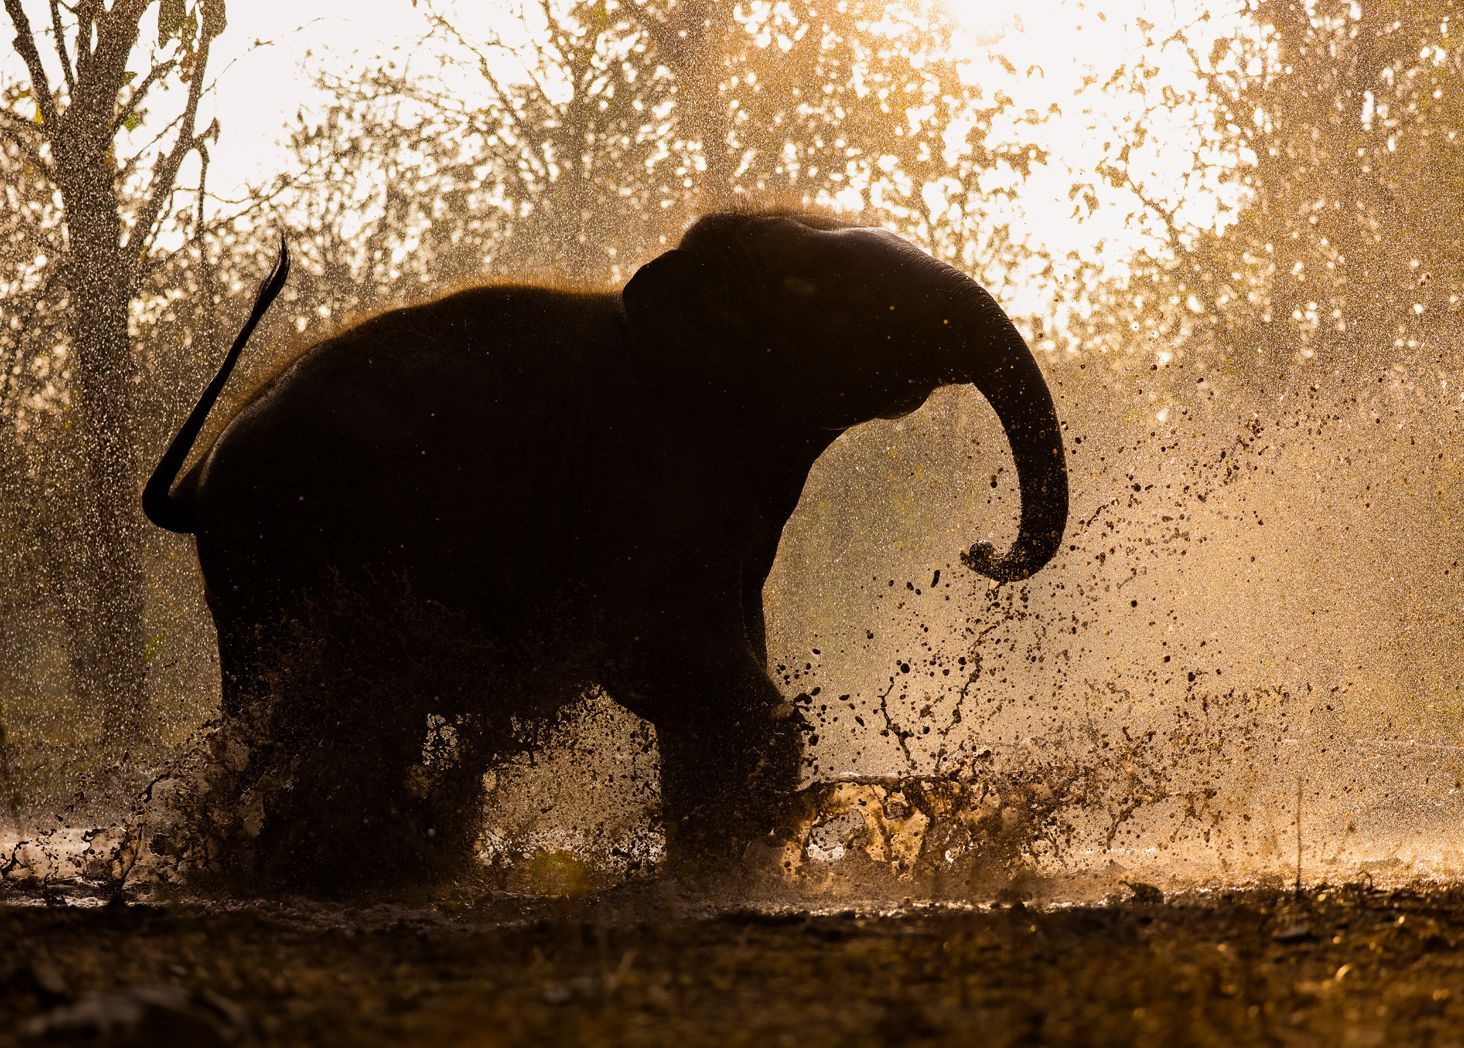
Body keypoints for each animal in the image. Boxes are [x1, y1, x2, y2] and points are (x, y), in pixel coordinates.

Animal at [142, 209, 1069, 894]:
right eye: (856, 298)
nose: (980, 551)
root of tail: (195, 481)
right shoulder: (650, 475)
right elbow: (681, 666)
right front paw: (738, 863)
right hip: (284, 551)